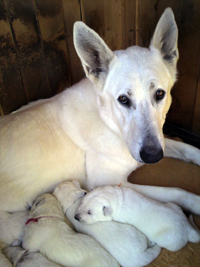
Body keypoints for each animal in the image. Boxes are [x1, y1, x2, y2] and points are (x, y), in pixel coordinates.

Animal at [0, 7, 200, 218]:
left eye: (160, 94)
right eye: (123, 99)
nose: (152, 157)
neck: (109, 123)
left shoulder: (158, 141)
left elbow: (189, 149)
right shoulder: (111, 182)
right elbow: (175, 191)